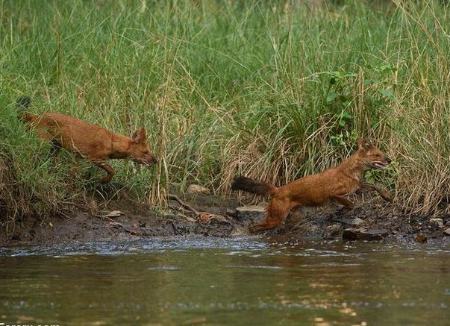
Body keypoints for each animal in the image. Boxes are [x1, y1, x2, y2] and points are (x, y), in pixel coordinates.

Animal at [16, 97, 157, 183]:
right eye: (145, 152)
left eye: (149, 151)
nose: (156, 160)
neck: (112, 141)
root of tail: (36, 116)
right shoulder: (93, 158)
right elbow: (112, 170)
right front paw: (103, 181)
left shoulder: (79, 158)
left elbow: (74, 172)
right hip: (43, 143)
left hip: (55, 147)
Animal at [232, 139, 394, 233]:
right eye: (377, 155)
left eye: (382, 153)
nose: (390, 160)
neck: (351, 171)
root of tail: (278, 189)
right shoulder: (334, 194)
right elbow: (350, 203)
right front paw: (341, 210)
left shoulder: (358, 186)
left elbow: (374, 185)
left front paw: (387, 197)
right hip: (275, 218)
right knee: (255, 227)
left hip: (294, 216)